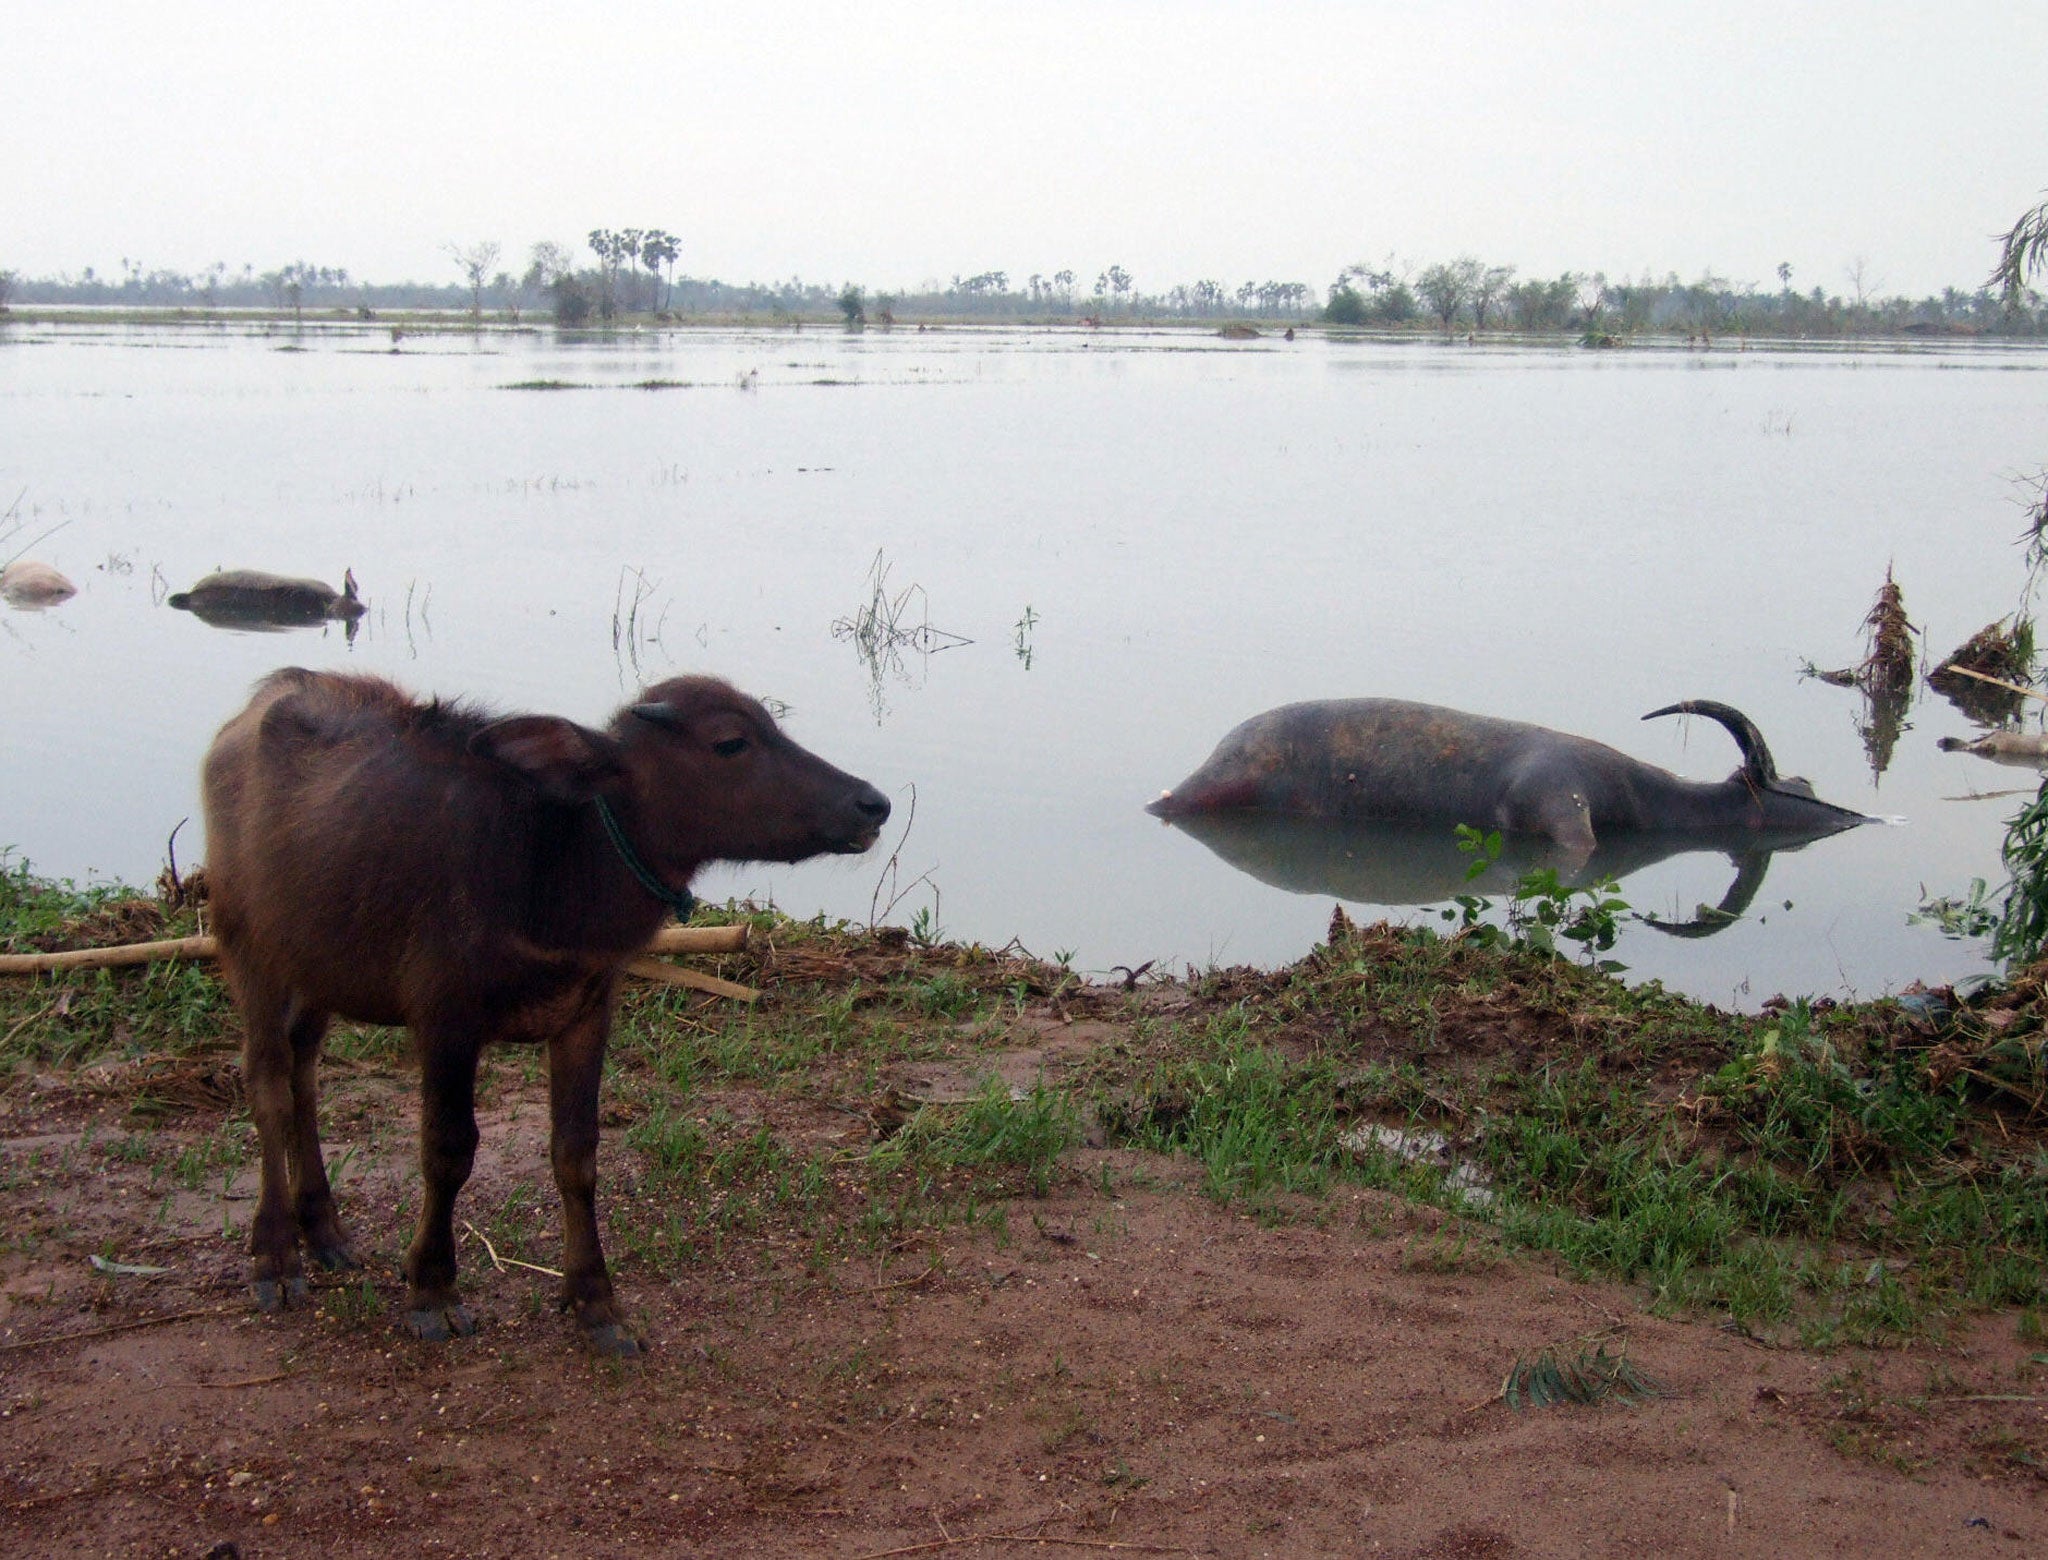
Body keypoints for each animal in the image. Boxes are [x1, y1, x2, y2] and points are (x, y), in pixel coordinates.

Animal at [203, 667, 892, 1351]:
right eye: (730, 742)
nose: (873, 805)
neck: (552, 866)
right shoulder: (445, 1019)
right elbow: (448, 1151)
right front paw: (432, 1289)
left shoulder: (587, 1011)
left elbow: (576, 1153)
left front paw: (596, 1301)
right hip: (245, 946)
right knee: (268, 1085)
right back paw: (276, 1257)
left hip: (316, 967)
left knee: (304, 1073)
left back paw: (324, 1231)